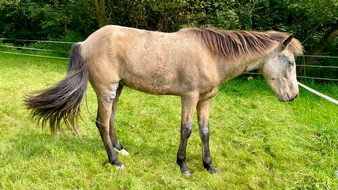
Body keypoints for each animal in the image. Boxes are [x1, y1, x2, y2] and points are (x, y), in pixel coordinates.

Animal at [24, 24, 304, 176]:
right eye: (290, 63)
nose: (293, 96)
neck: (211, 55)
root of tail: (85, 43)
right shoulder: (189, 97)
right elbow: (186, 130)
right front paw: (183, 166)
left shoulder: (206, 100)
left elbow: (204, 131)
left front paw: (209, 166)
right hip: (106, 91)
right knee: (102, 123)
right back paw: (115, 161)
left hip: (118, 89)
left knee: (111, 119)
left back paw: (120, 149)